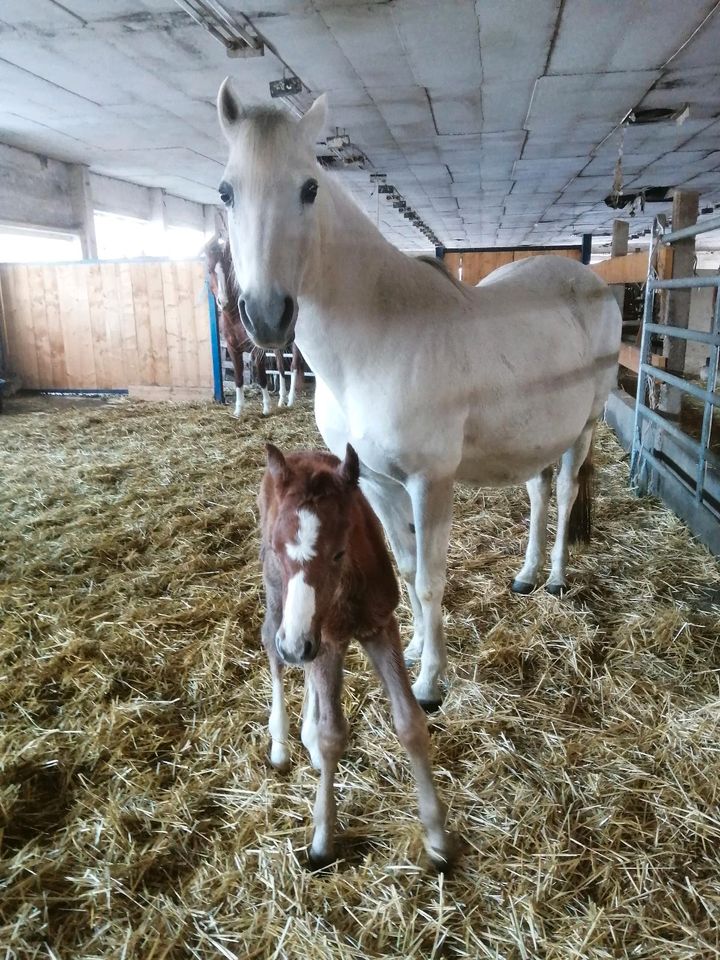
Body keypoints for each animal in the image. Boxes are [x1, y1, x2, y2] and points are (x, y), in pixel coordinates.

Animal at [205, 235, 304, 416]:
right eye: (209, 271)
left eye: (228, 270)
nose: (223, 302)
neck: (235, 318)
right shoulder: (232, 349)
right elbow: (238, 378)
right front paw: (238, 410)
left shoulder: (257, 350)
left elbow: (262, 377)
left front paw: (266, 408)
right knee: (281, 367)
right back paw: (281, 400)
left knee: (293, 367)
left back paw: (290, 401)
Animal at [217, 82, 620, 708]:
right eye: (226, 191)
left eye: (309, 188)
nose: (266, 315)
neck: (375, 341)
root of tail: (594, 282)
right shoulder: (379, 483)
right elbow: (406, 571)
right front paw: (409, 653)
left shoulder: (430, 482)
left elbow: (431, 579)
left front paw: (431, 683)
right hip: (534, 436)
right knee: (538, 493)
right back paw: (527, 577)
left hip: (585, 426)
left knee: (568, 488)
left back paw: (555, 578)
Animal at [258, 442, 450, 872]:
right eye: (277, 548)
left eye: (339, 552)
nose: (295, 644)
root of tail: (296, 455)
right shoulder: (323, 639)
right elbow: (333, 734)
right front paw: (322, 842)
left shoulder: (379, 627)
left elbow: (410, 722)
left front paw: (438, 838)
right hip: (280, 608)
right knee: (272, 649)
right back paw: (281, 746)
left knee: (303, 669)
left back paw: (306, 738)